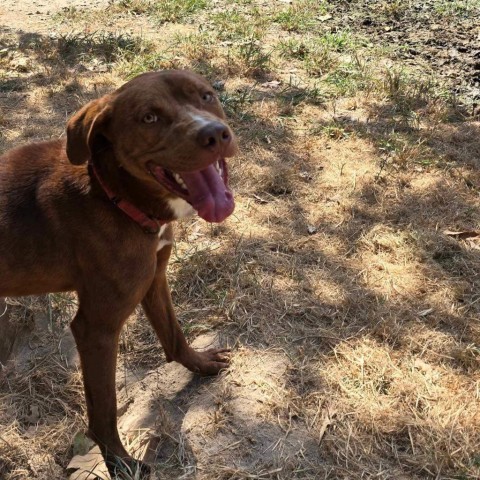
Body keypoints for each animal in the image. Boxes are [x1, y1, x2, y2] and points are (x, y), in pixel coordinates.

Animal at [0, 69, 237, 478]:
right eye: (149, 118)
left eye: (206, 96)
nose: (216, 134)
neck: (112, 194)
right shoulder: (96, 328)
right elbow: (104, 410)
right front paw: (120, 461)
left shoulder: (154, 279)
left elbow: (173, 335)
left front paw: (201, 365)